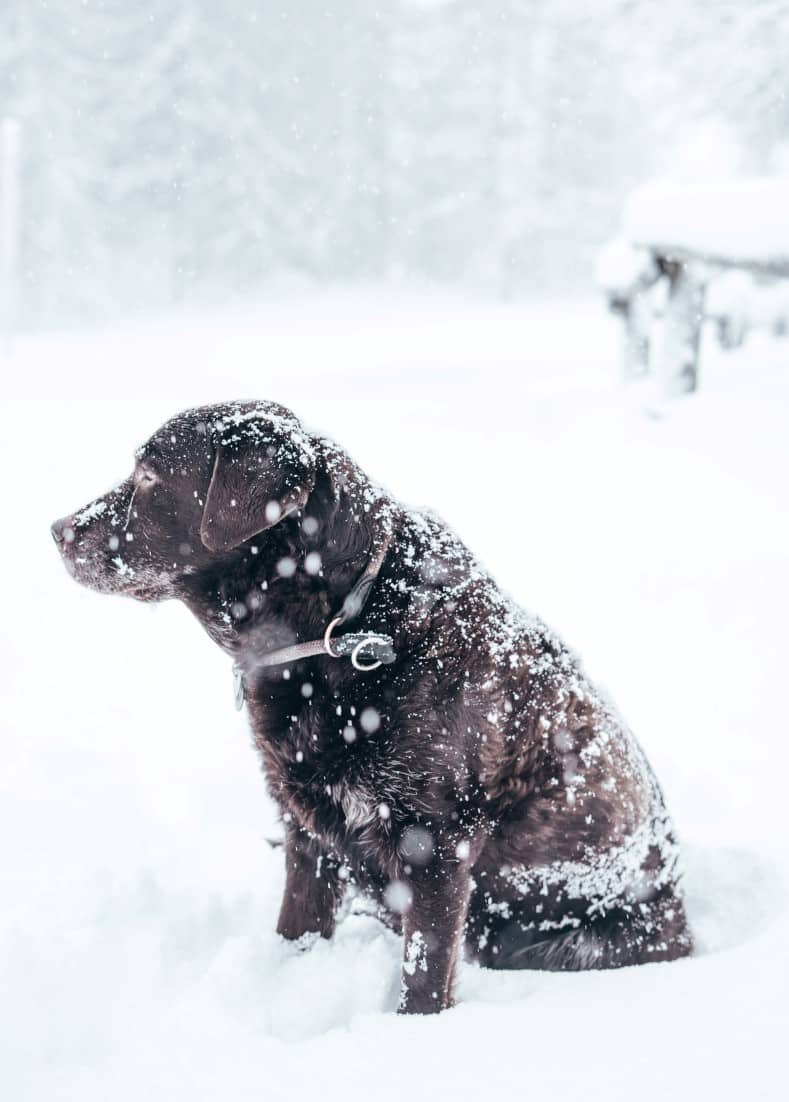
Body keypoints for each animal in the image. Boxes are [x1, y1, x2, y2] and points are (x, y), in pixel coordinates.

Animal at [52, 401, 692, 1009]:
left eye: (148, 477)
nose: (57, 529)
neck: (345, 625)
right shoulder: (305, 827)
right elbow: (297, 926)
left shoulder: (435, 844)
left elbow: (424, 977)